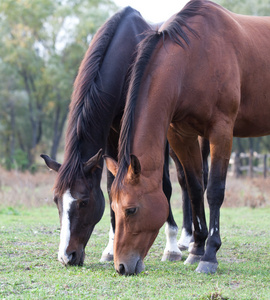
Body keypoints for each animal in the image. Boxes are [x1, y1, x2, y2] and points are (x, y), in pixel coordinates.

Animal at [40, 6, 184, 264]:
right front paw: (110, 248)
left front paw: (172, 248)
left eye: (84, 202)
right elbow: (111, 187)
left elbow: (165, 187)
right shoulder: (109, 135)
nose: (67, 257)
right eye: (56, 200)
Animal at [106, 0, 270, 276]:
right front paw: (196, 249)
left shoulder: (221, 131)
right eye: (114, 208)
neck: (194, 59)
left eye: (131, 209)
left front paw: (210, 254)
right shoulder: (181, 134)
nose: (121, 266)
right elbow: (194, 189)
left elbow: (214, 190)